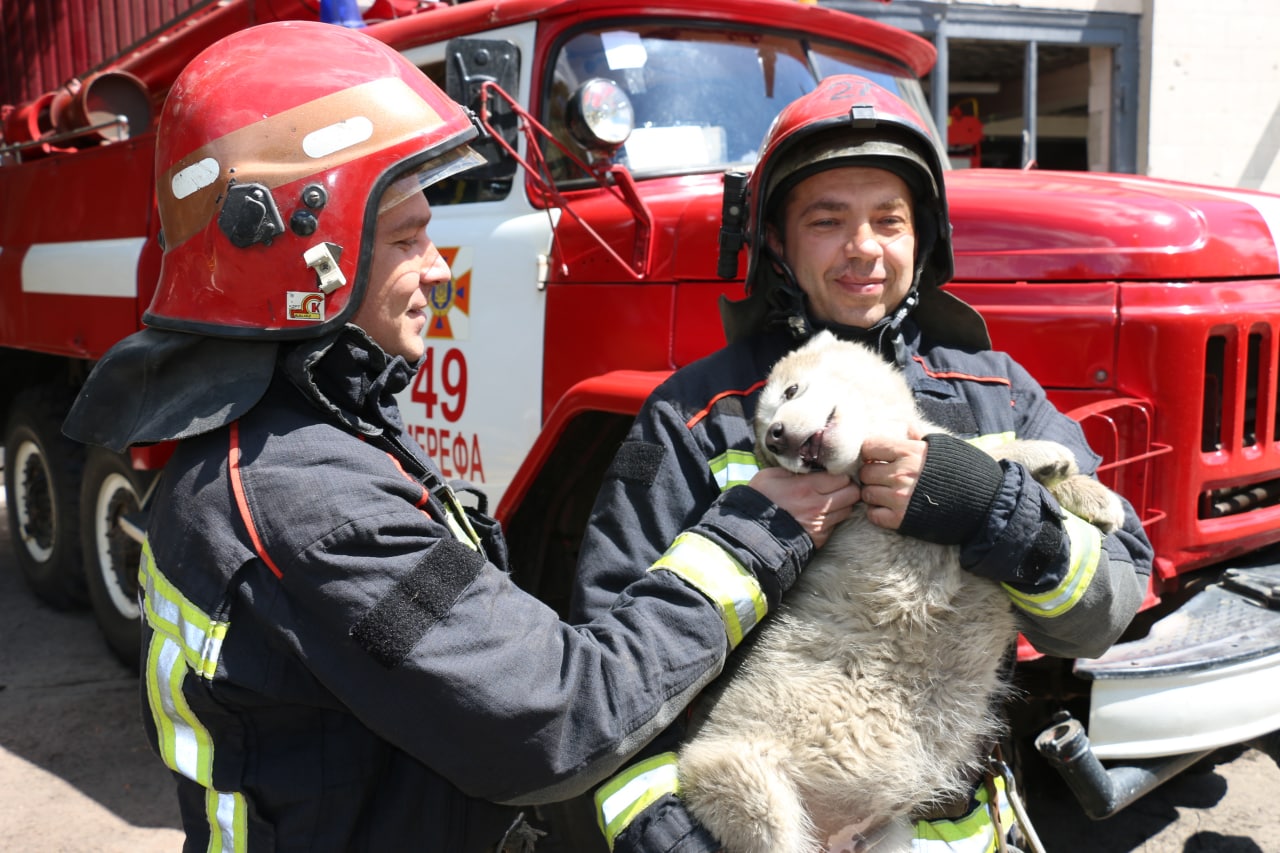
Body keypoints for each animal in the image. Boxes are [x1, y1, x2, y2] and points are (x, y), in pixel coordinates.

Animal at [675, 330, 1126, 850]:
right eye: (767, 431)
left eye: (789, 392)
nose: (778, 436)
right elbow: (978, 452)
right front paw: (1045, 456)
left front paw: (1094, 497)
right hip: (744, 775)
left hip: (885, 835)